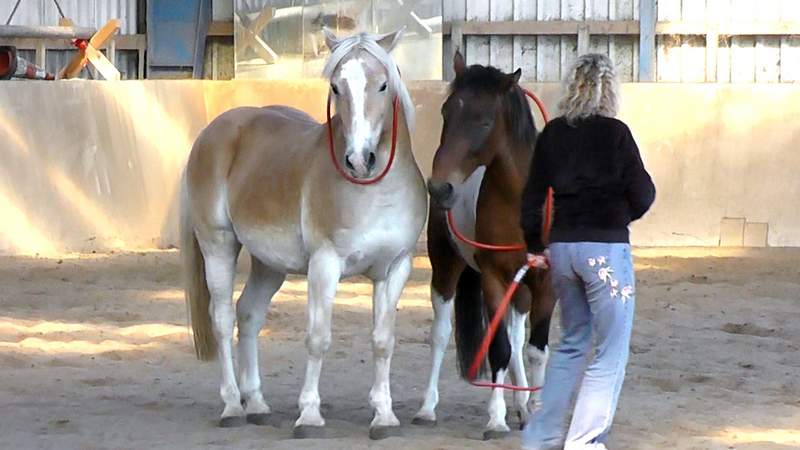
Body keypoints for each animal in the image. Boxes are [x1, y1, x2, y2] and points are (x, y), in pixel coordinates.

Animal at [181, 29, 428, 440]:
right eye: (336, 87)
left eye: (383, 84)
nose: (359, 160)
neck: (374, 192)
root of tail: (213, 132)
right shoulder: (325, 265)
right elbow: (318, 339)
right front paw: (309, 415)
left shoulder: (395, 269)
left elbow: (382, 341)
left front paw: (384, 415)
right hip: (218, 246)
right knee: (223, 321)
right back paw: (233, 407)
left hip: (269, 263)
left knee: (248, 314)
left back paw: (258, 405)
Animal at [412, 50, 556, 440]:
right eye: (446, 111)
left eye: (485, 120)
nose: (440, 187)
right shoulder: (492, 277)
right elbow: (498, 349)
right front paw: (495, 419)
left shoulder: (547, 282)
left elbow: (536, 350)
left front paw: (535, 411)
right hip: (446, 270)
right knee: (441, 334)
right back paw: (427, 409)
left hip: (521, 287)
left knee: (517, 335)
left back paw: (523, 407)